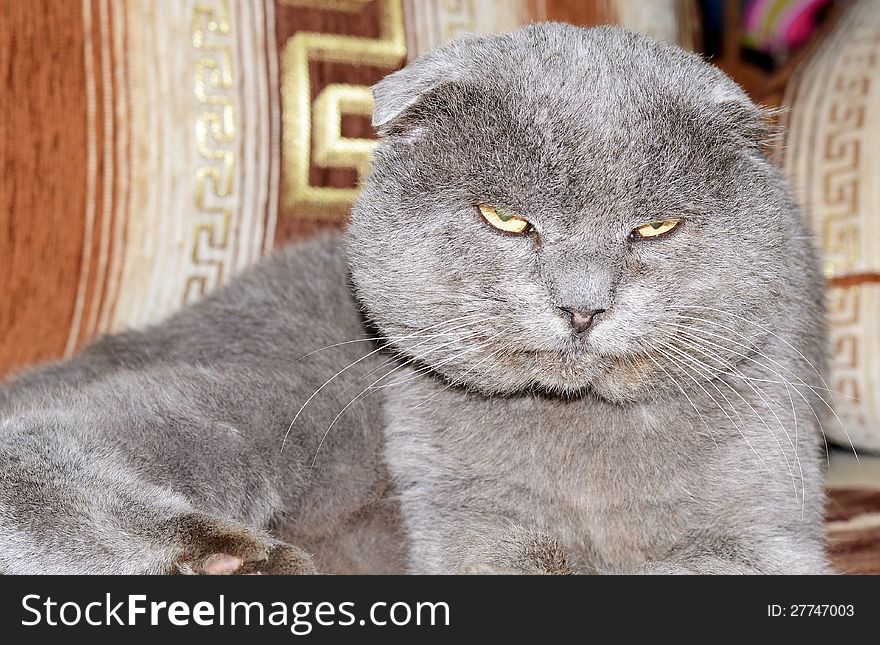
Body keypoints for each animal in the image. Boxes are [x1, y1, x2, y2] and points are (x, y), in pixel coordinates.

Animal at [0, 22, 832, 572]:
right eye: (506, 219)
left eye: (655, 227)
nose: (582, 306)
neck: (583, 437)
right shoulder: (471, 516)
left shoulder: (767, 524)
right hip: (287, 395)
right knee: (42, 439)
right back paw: (231, 560)